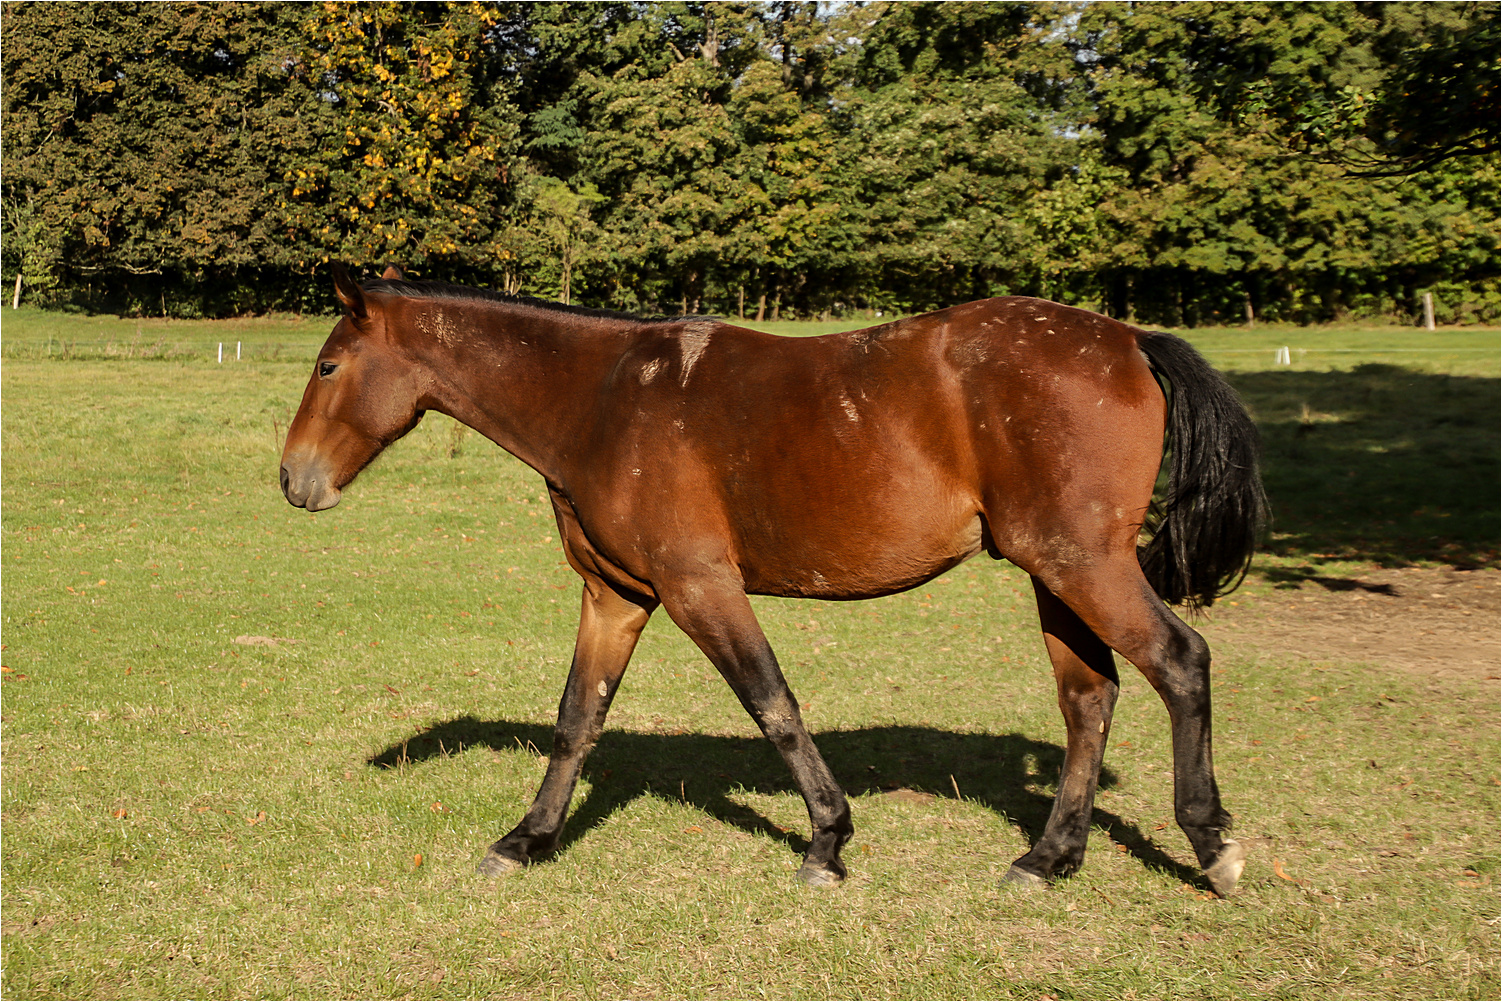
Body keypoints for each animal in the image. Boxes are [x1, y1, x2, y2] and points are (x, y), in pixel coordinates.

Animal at [279, 262, 1267, 895]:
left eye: (328, 365)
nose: (293, 480)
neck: (604, 400)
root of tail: (1128, 340)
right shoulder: (618, 597)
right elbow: (576, 721)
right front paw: (528, 840)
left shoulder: (699, 589)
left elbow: (773, 705)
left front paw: (827, 843)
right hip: (1055, 577)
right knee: (1088, 700)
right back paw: (1049, 858)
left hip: (1081, 565)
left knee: (1180, 663)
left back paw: (1211, 846)